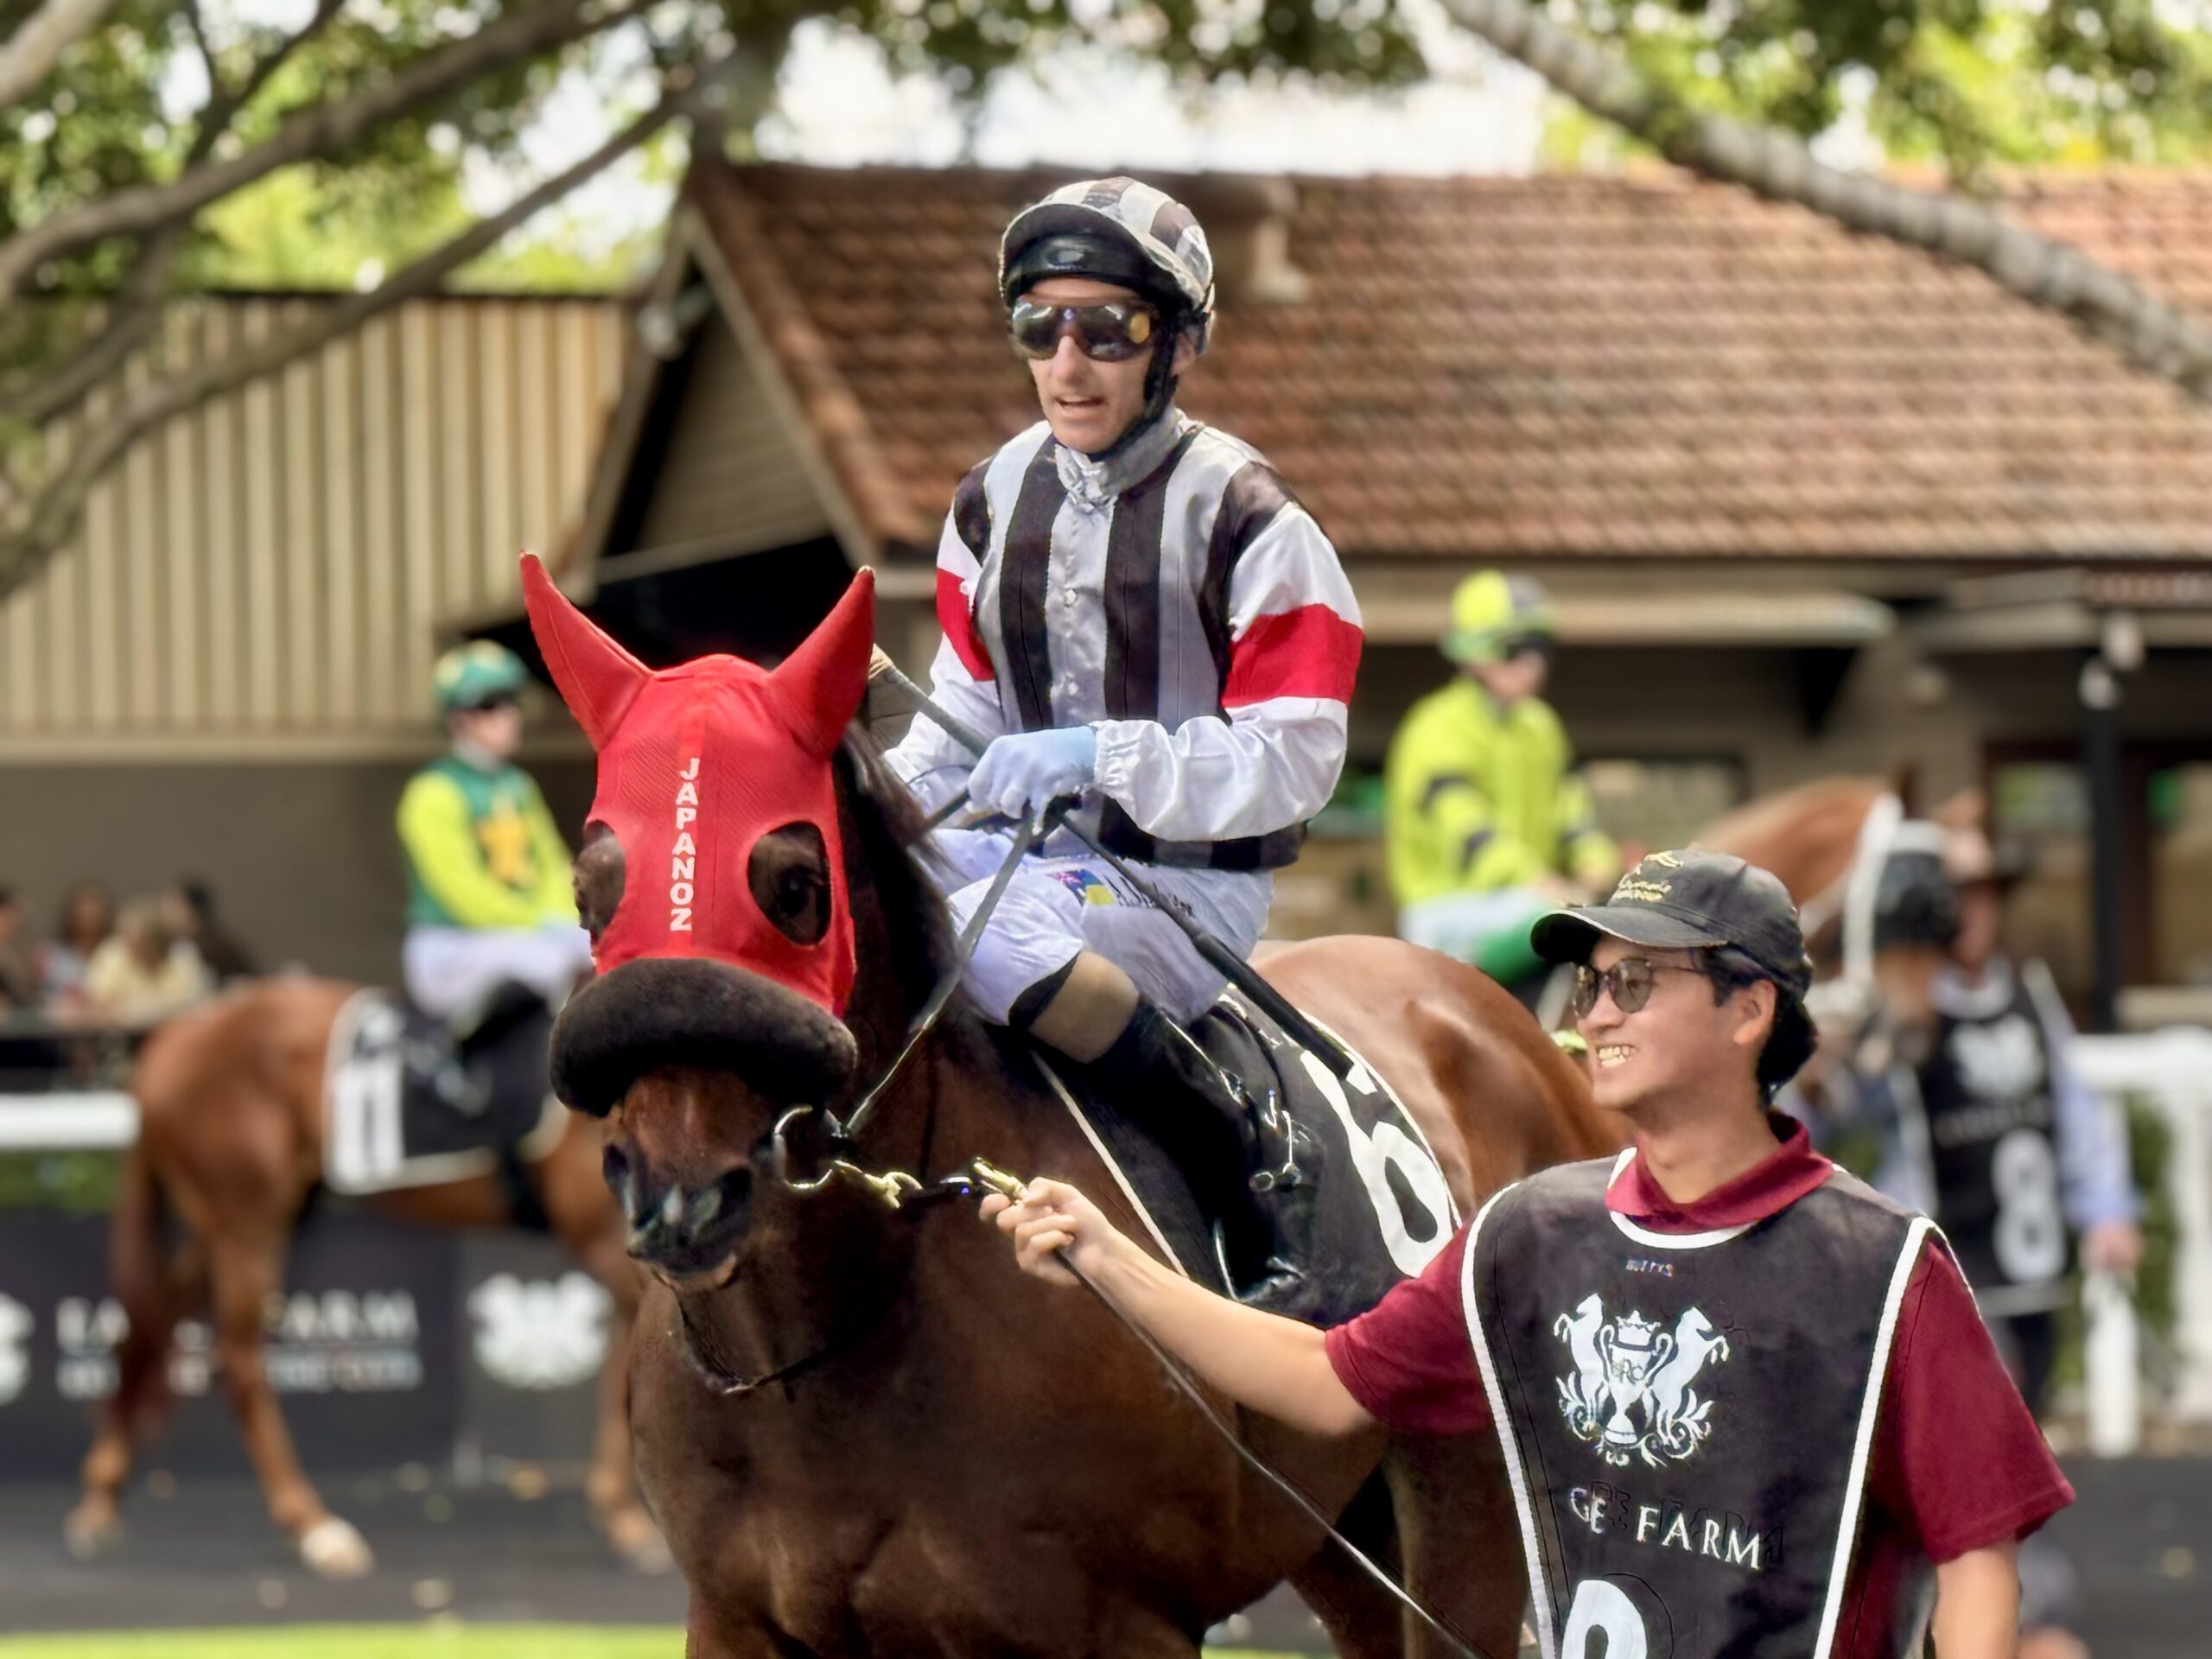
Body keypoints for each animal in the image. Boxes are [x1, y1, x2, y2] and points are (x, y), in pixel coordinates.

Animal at [61, 977, 661, 1579]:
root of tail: (172, 1043)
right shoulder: (612, 1247)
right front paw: (629, 1519)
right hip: (246, 1227)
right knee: (237, 1362)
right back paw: (312, 1525)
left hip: (244, 1223)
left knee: (156, 1324)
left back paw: (102, 1494)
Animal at [524, 561, 1615, 1658]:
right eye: (589, 892)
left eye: (795, 885)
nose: (679, 1195)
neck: (816, 1357)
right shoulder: (734, 1615)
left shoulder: (1121, 1622)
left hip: (1463, 1505)